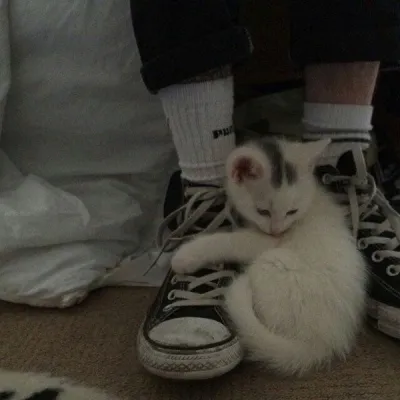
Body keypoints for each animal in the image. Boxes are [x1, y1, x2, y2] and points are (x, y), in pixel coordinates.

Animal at [171, 137, 367, 376]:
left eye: (292, 211)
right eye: (262, 211)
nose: (277, 230)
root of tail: (322, 342)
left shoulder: (268, 242)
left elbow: (229, 241)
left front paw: (186, 255)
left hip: (272, 263)